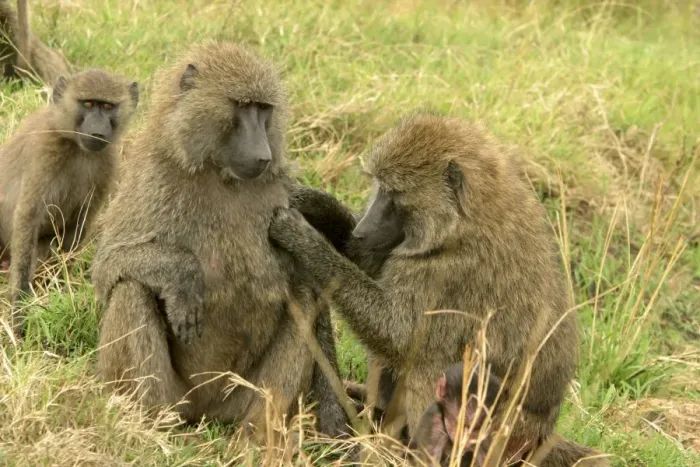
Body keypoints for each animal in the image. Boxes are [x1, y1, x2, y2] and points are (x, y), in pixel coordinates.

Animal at [0, 69, 139, 334]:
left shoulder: (105, 165)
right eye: (88, 104)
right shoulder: (43, 156)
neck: (75, 145)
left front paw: (61, 291)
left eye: (108, 106)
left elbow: (79, 226)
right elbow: (26, 221)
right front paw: (19, 314)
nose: (97, 130)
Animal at [91, 40, 349, 441]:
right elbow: (106, 270)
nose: (263, 154)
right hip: (175, 395)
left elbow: (311, 294)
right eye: (242, 106)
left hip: (239, 397)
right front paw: (182, 277)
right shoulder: (152, 178)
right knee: (131, 289)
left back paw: (258, 440)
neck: (219, 175)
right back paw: (151, 427)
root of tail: (204, 414)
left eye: (263, 109)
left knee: (303, 301)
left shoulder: (285, 200)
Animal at [268, 112, 582, 458]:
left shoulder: (446, 275)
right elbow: (369, 262)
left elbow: (397, 334)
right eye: (380, 188)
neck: (468, 220)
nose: (363, 229)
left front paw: (303, 238)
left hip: (498, 432)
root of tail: (541, 433)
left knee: (430, 366)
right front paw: (313, 202)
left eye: (394, 195)